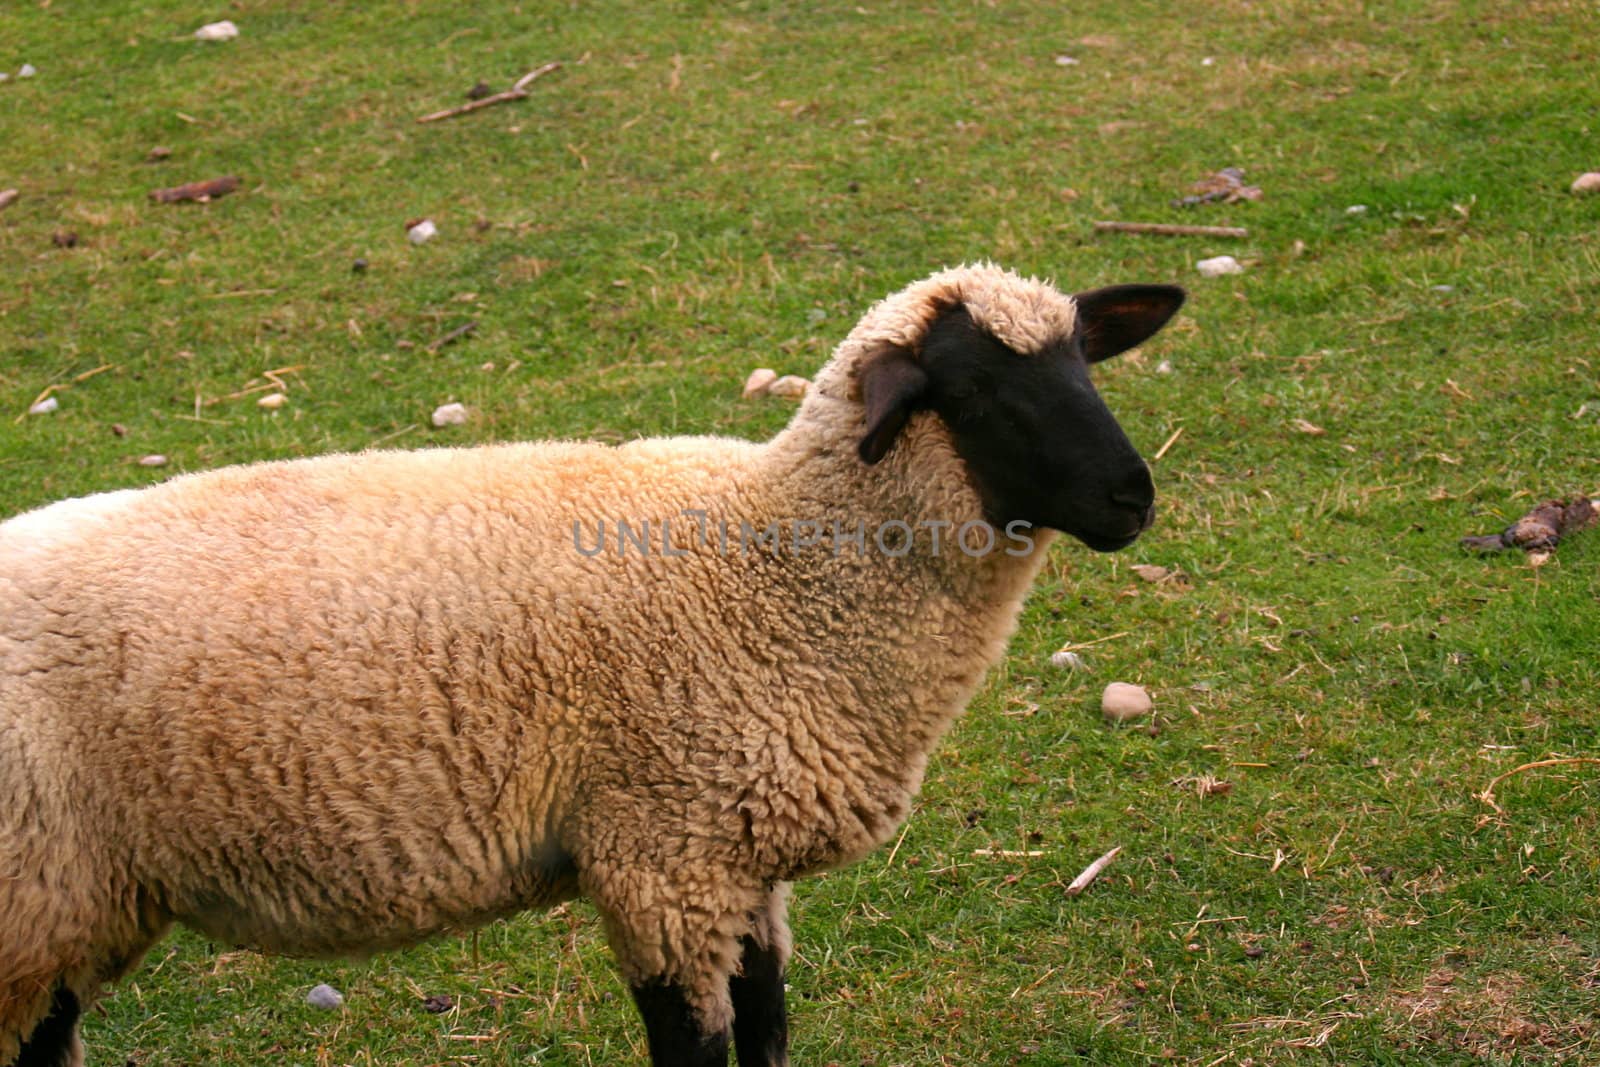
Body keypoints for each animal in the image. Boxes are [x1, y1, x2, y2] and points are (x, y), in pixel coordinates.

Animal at [3, 260, 1190, 1067]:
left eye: (1085, 363)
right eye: (978, 393)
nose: (1134, 496)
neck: (773, 565)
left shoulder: (739, 862)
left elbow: (767, 1032)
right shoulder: (661, 861)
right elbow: (698, 1051)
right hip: (33, 896)